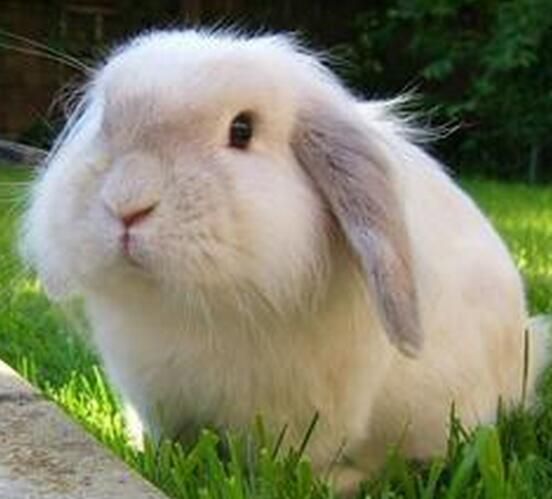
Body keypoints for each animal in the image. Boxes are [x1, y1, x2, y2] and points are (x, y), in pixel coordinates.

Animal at [21, 29, 550, 492]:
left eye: (242, 130)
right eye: (106, 125)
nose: (128, 205)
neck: (196, 308)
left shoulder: (307, 413)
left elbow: (295, 460)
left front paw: (323, 482)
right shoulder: (156, 396)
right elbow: (166, 439)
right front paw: (151, 455)